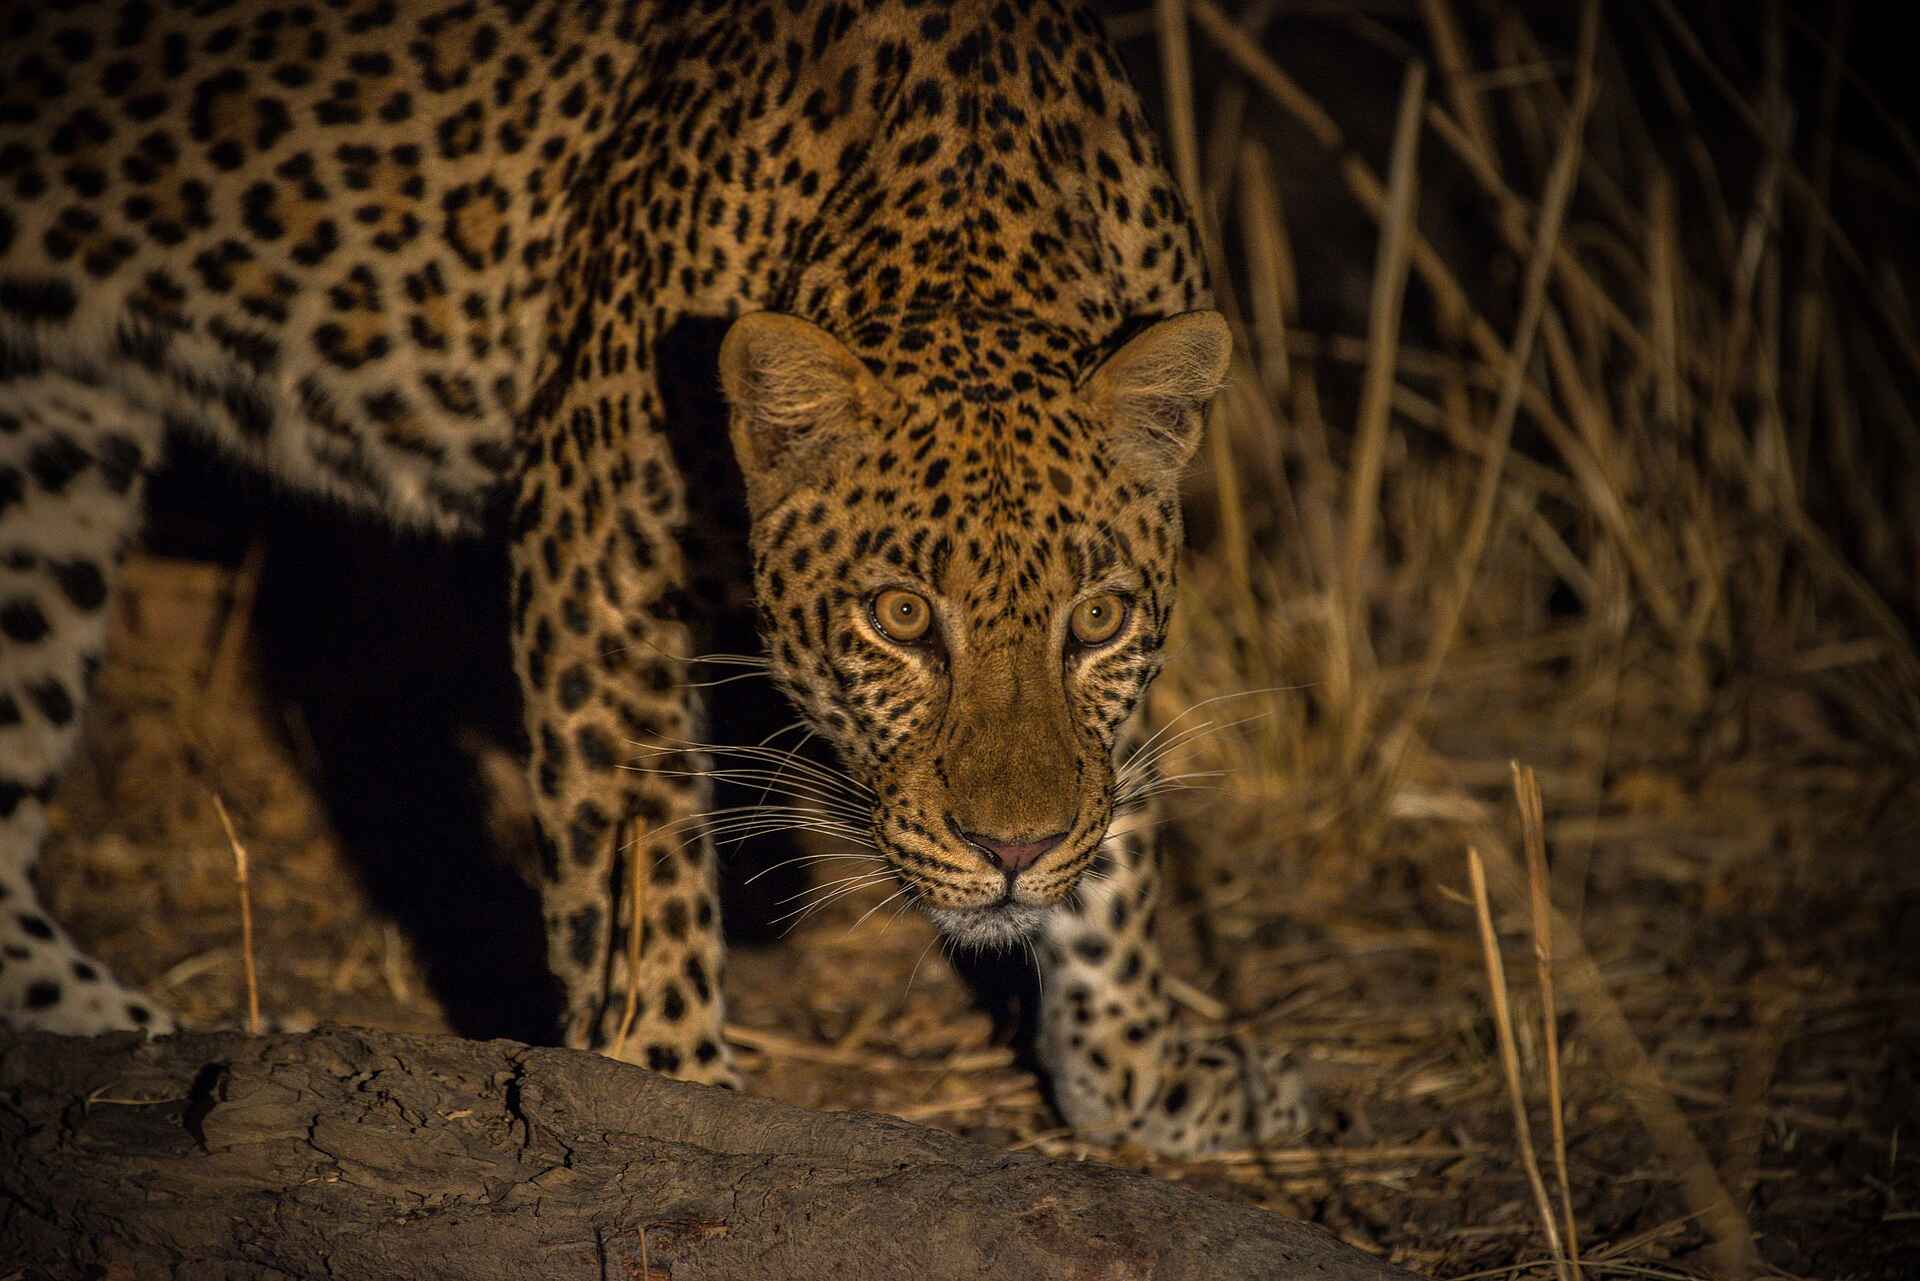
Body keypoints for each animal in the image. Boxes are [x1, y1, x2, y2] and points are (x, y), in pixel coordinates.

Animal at [0, 0, 1311, 1155]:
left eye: (1096, 620)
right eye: (898, 618)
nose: (1013, 854)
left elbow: (1125, 820)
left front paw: (1137, 1072)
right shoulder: (596, 552)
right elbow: (636, 861)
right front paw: (665, 1082)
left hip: (58, 439)